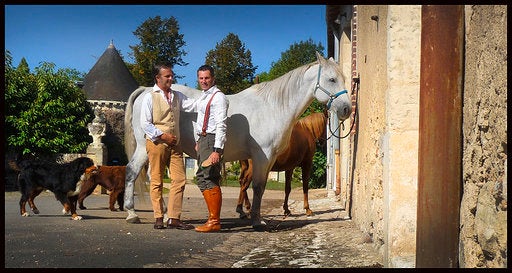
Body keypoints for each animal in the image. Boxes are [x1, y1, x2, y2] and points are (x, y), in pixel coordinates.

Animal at [124, 51, 352, 230]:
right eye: (332, 79)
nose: (346, 109)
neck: (273, 107)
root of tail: (148, 90)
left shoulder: (268, 159)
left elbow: (259, 187)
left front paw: (255, 217)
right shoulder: (261, 157)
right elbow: (258, 187)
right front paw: (257, 221)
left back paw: (164, 214)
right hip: (146, 147)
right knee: (133, 172)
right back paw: (133, 214)